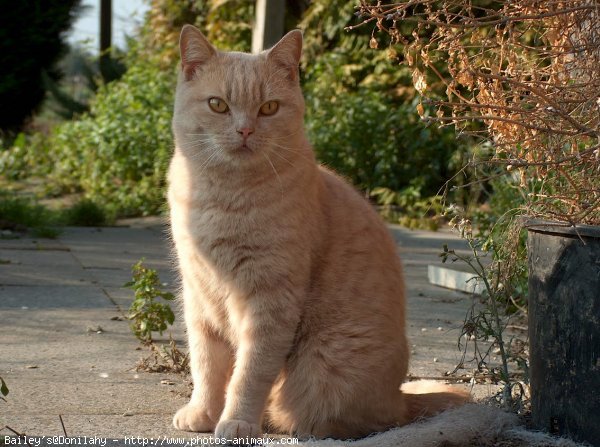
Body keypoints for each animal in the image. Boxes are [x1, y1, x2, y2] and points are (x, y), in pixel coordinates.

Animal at [169, 24, 468, 440]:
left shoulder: (270, 301)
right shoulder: (199, 295)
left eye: (269, 108)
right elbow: (207, 365)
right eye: (217, 105)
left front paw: (236, 422)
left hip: (323, 366)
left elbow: (249, 372)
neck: (223, 195)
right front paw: (203, 414)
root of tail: (400, 397)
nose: (244, 129)